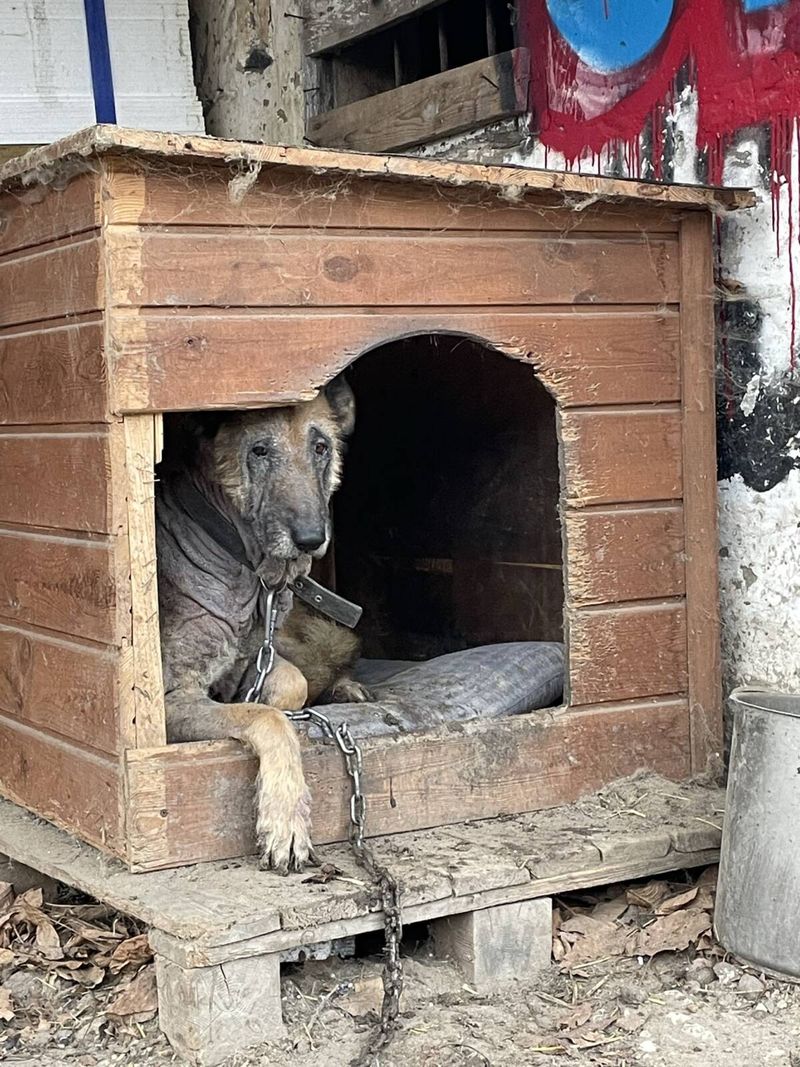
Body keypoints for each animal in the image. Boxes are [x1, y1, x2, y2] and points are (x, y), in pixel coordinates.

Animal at [156, 377, 369, 874]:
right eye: (259, 450)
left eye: (319, 447)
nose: (311, 539)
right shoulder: (173, 699)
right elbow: (267, 717)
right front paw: (286, 819)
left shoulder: (256, 657)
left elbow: (289, 686)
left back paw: (344, 687)